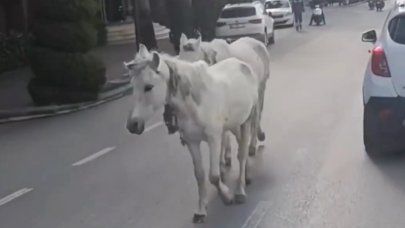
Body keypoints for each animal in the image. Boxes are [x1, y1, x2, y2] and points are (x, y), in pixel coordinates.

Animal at [124, 44, 260, 223]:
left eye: (148, 86)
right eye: (133, 85)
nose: (132, 125)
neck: (195, 104)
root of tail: (242, 64)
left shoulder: (214, 138)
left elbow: (213, 176)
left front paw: (227, 196)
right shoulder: (191, 142)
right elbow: (200, 175)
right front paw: (201, 210)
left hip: (247, 119)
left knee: (243, 152)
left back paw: (240, 191)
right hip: (234, 124)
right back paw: (248, 175)